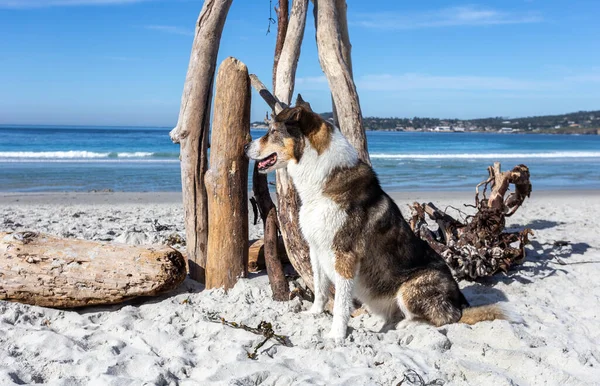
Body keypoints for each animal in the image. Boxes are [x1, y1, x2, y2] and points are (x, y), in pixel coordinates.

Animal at [244, 95, 506, 340]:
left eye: (272, 131)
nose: (245, 146)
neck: (320, 180)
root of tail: (460, 302)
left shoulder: (345, 256)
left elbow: (341, 303)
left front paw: (336, 335)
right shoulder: (315, 249)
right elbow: (320, 288)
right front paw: (315, 313)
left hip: (411, 288)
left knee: (445, 318)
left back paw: (408, 325)